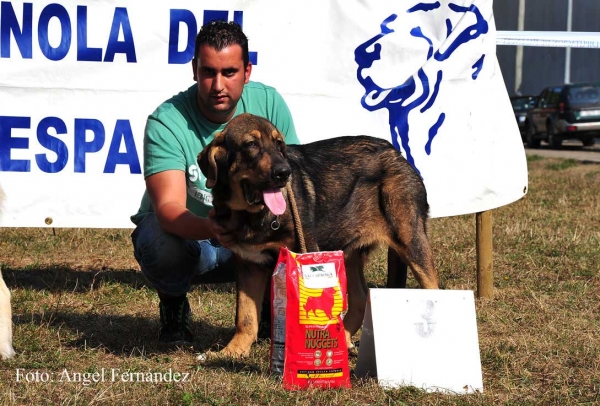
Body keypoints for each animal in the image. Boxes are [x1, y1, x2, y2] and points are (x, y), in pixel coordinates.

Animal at [199, 112, 438, 356]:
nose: (284, 173)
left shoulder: (304, 255)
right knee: (360, 298)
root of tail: (396, 153)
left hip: (411, 242)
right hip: (348, 251)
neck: (250, 216)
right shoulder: (249, 264)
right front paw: (232, 352)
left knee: (433, 288)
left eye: (279, 144)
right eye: (251, 144)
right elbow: (245, 315)